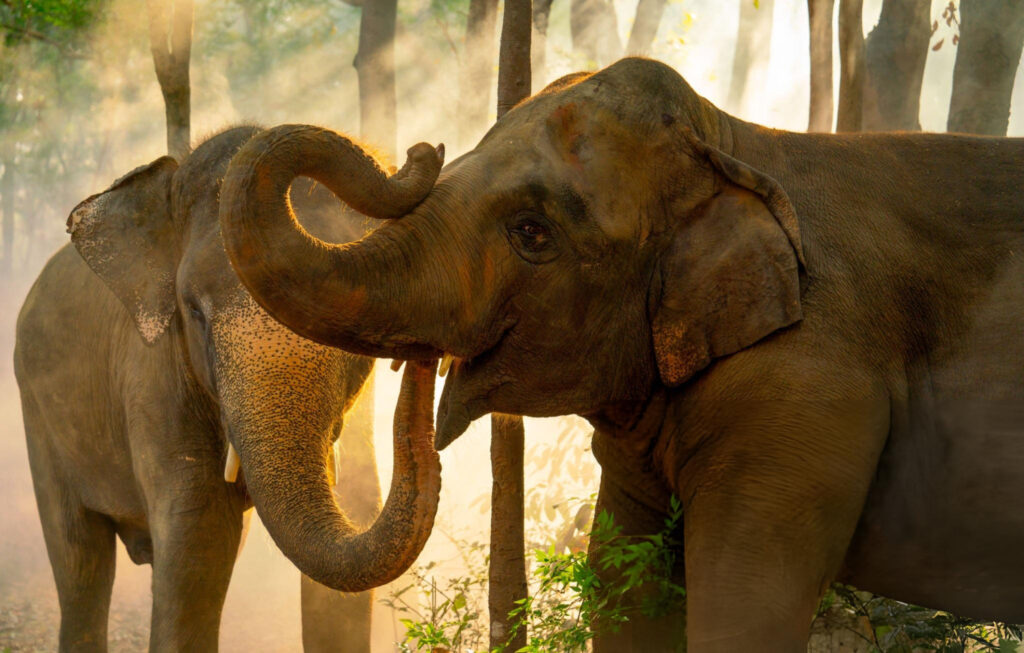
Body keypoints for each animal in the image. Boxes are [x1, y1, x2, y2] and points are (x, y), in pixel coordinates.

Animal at [13, 125, 442, 652]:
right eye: (194, 310)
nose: (424, 149)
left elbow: (352, 523)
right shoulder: (153, 379)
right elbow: (200, 536)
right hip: (37, 411)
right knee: (80, 561)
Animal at [218, 57, 1024, 652]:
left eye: (533, 232)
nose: (421, 152)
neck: (736, 144)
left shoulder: (804, 389)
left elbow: (748, 599)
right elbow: (624, 591)